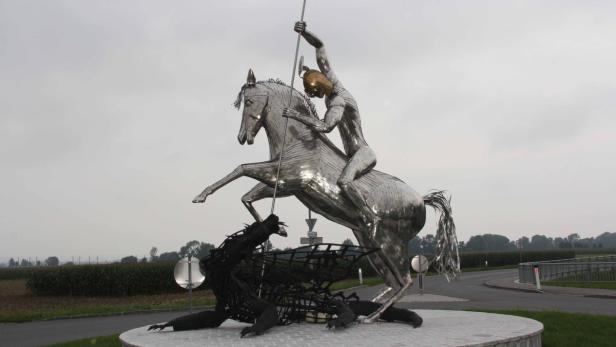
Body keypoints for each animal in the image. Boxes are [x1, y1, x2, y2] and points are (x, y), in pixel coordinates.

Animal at [192, 70, 458, 324]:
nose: (241, 138)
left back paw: (369, 317)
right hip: (369, 242)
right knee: (393, 283)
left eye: (248, 101)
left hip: (389, 243)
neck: (297, 141)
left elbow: (242, 168)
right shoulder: (283, 185)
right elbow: (247, 196)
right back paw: (363, 313)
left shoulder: (287, 177)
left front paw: (200, 196)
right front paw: (277, 229)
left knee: (405, 282)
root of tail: (421, 200)